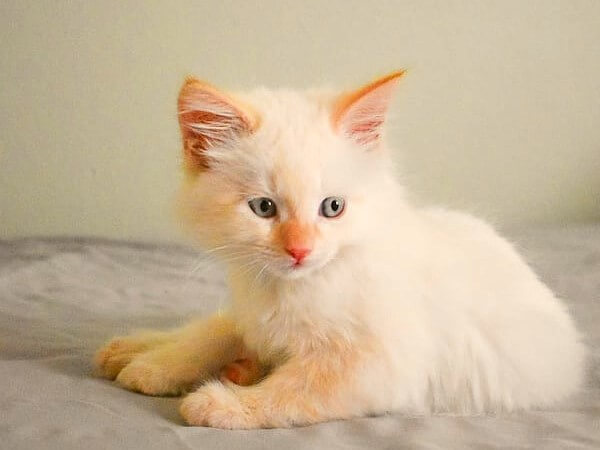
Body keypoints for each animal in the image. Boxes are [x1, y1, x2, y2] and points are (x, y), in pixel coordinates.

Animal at [95, 71, 584, 428]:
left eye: (332, 207)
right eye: (263, 208)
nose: (300, 250)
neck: (285, 289)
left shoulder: (377, 365)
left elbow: (294, 389)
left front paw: (225, 405)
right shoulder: (254, 312)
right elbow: (216, 334)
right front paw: (161, 366)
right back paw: (135, 349)